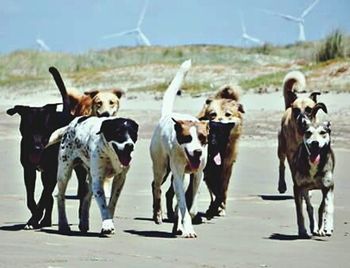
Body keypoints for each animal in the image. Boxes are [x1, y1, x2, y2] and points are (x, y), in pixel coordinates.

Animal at [150, 59, 209, 238]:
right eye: (187, 138)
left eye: (202, 138)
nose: (197, 152)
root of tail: (167, 116)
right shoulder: (177, 174)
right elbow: (183, 204)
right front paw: (188, 228)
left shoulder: (197, 174)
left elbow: (191, 205)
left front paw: (184, 222)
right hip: (162, 168)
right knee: (155, 186)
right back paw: (158, 214)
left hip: (184, 177)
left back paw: (176, 224)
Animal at [197, 85, 243, 219]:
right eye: (213, 114)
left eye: (228, 114)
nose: (219, 121)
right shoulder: (208, 170)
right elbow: (215, 191)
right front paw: (213, 208)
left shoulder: (226, 167)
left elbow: (222, 190)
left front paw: (219, 207)